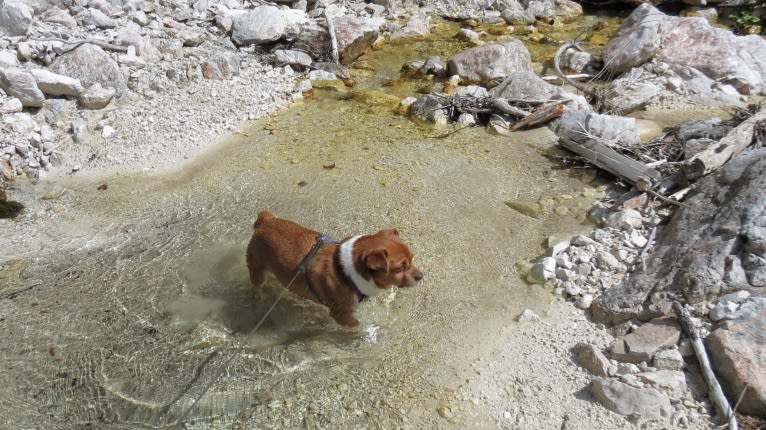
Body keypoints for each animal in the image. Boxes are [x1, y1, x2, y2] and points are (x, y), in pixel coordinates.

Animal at [248, 211, 424, 326]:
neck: (347, 274)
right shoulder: (342, 314)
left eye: (412, 258)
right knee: (256, 284)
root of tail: (266, 220)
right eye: (400, 268)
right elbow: (358, 326)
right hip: (257, 269)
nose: (421, 276)